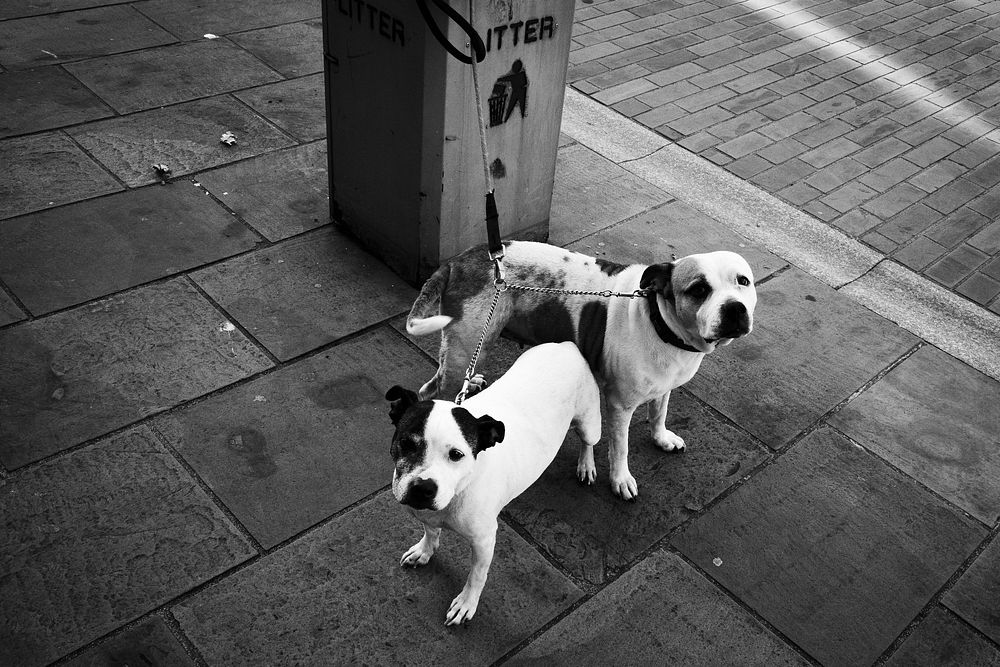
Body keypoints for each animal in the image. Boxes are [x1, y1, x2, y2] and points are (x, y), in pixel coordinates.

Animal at [386, 344, 596, 628]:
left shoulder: (484, 541)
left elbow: (477, 576)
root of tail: (566, 345)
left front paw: (466, 604)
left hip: (590, 422)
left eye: (456, 455)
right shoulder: (426, 515)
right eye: (407, 443)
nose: (423, 488)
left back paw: (587, 464)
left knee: (589, 442)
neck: (460, 490)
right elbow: (431, 533)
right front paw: (424, 551)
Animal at [402, 243, 752, 498]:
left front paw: (661, 438)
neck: (659, 321)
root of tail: (459, 261)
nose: (736, 309)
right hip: (468, 344)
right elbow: (620, 447)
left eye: (743, 281)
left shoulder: (664, 386)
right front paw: (621, 479)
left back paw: (472, 382)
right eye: (698, 289)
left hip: (475, 344)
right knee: (432, 390)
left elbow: (659, 412)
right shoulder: (621, 406)